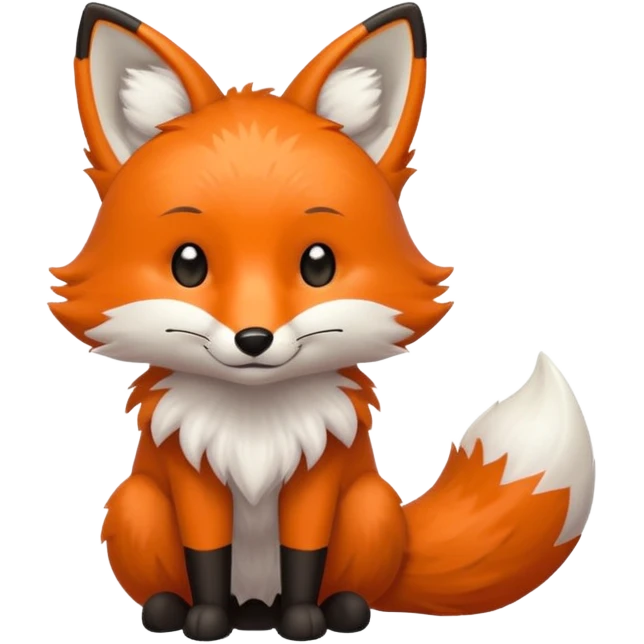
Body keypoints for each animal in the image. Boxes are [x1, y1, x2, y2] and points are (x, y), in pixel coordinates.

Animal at [53, 1, 597, 641]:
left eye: (319, 264)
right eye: (188, 264)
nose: (254, 339)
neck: (254, 424)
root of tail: (254, 603)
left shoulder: (319, 475)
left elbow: (303, 554)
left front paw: (304, 620)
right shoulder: (194, 475)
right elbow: (206, 554)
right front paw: (206, 620)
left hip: (370, 506)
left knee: (354, 579)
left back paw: (340, 609)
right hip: (135, 502)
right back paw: (176, 610)